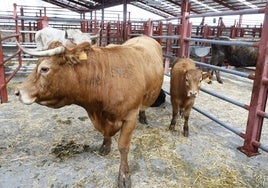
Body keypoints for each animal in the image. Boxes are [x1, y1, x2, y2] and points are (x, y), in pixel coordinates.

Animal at [15, 36, 164, 187]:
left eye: (44, 68)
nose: (18, 92)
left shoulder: (130, 116)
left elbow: (123, 147)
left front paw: (124, 176)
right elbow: (105, 133)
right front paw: (105, 146)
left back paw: (143, 117)